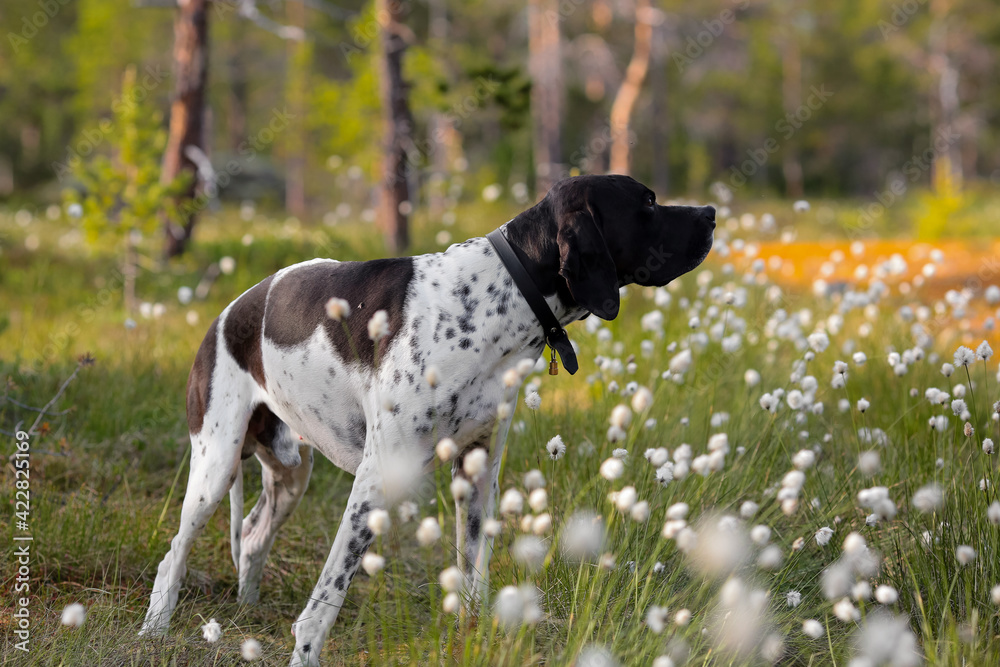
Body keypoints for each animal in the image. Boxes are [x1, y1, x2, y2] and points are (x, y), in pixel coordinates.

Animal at [141, 175, 716, 664]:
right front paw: (304, 654)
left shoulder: (478, 473)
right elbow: (330, 592)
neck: (502, 295)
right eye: (646, 203)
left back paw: (247, 608)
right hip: (215, 468)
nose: (711, 213)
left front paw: (474, 639)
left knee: (254, 535)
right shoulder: (376, 476)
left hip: (290, 474)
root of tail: (225, 314)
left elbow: (473, 576)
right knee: (175, 554)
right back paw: (155, 628)